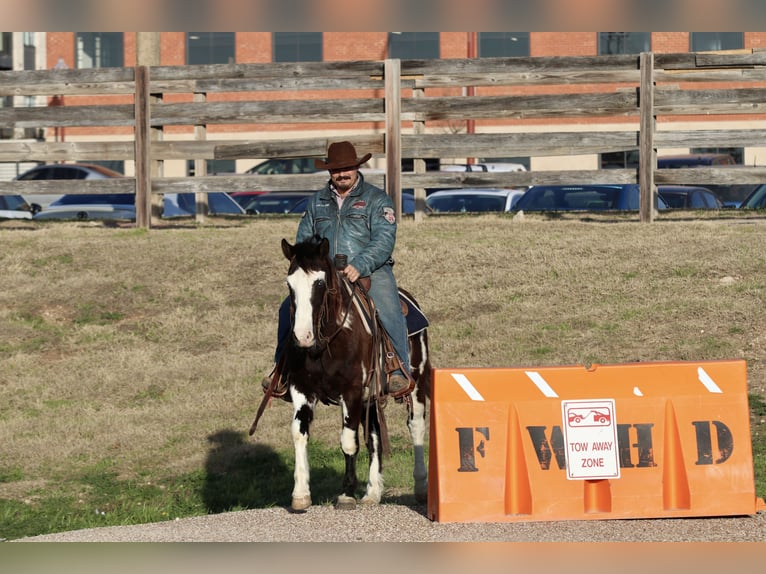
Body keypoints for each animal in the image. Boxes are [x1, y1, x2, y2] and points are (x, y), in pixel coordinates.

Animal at [254, 237, 428, 512]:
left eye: (320, 283)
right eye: (289, 284)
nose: (302, 336)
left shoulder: (352, 391)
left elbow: (348, 441)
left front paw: (346, 493)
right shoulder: (302, 390)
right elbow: (299, 433)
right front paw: (301, 494)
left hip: (416, 383)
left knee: (416, 425)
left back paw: (421, 488)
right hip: (371, 398)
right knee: (374, 436)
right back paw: (372, 493)